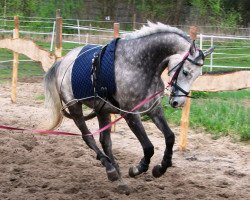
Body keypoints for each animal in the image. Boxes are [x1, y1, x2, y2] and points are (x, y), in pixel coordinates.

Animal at [44, 23, 213, 188]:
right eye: (185, 72)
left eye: (198, 75)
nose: (178, 102)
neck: (138, 64)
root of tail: (62, 62)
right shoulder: (130, 114)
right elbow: (148, 147)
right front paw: (138, 168)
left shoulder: (154, 109)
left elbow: (170, 137)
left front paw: (161, 168)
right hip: (75, 108)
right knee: (88, 138)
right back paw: (111, 169)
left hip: (102, 110)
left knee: (105, 142)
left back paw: (117, 176)